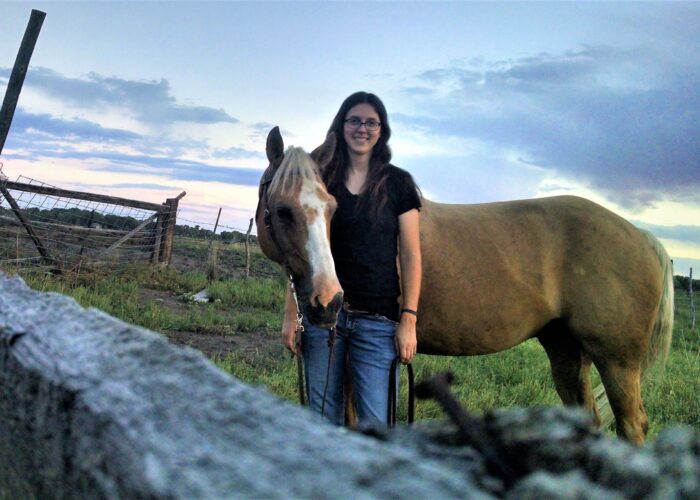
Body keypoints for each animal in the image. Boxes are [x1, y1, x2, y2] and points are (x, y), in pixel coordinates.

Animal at [256, 127, 674, 445]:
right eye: (283, 210)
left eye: (330, 208)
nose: (328, 301)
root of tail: (643, 236)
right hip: (566, 349)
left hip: (618, 362)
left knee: (632, 424)